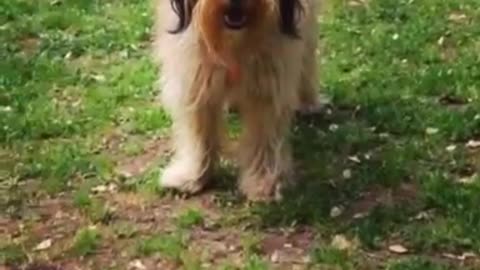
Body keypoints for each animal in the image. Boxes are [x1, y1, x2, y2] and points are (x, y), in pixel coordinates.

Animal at [154, 0, 322, 201]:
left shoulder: (269, 82)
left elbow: (264, 137)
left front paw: (263, 181)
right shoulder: (195, 75)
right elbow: (199, 130)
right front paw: (192, 174)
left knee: (308, 53)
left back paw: (308, 101)